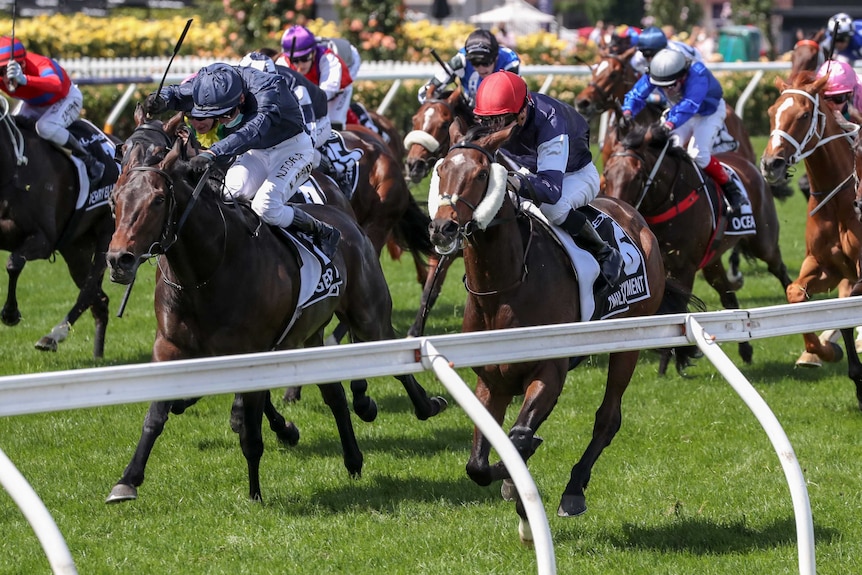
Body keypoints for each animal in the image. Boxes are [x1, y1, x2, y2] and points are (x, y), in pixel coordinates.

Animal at [0, 100, 115, 360]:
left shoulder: (43, 239)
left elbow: (14, 263)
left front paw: (10, 313)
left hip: (108, 237)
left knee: (89, 291)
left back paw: (53, 336)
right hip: (76, 250)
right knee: (100, 299)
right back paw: (98, 356)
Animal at [104, 127, 448, 504]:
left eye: (157, 200)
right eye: (114, 199)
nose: (119, 259)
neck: (205, 271)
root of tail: (343, 218)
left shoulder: (250, 354)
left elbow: (249, 428)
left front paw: (255, 491)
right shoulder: (168, 347)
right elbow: (156, 415)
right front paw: (127, 480)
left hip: (368, 314)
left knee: (391, 354)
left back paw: (424, 405)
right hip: (310, 333)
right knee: (334, 393)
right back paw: (353, 458)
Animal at [432, 121, 696, 536]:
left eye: (479, 174)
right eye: (442, 169)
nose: (443, 227)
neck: (505, 287)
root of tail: (634, 217)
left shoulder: (549, 371)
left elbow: (519, 437)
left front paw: (522, 493)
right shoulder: (491, 380)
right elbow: (478, 462)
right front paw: (512, 485)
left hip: (628, 345)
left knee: (608, 418)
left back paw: (574, 490)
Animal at [604, 126, 792, 368]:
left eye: (637, 175)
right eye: (606, 172)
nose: (614, 207)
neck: (669, 199)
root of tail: (752, 166)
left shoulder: (684, 267)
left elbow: (678, 308)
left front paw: (673, 359)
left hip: (763, 243)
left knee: (779, 269)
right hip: (712, 262)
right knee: (728, 296)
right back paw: (746, 349)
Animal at [764, 70, 862, 408]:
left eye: (804, 115)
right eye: (771, 112)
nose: (770, 164)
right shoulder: (824, 265)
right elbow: (796, 294)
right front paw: (825, 351)